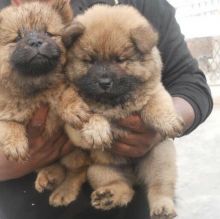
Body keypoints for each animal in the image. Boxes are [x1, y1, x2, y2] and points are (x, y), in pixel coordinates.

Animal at [0, 0, 90, 161]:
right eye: (17, 38)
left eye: (48, 33)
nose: (35, 41)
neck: (36, 86)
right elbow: (8, 123)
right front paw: (15, 143)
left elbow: (64, 93)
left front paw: (74, 109)